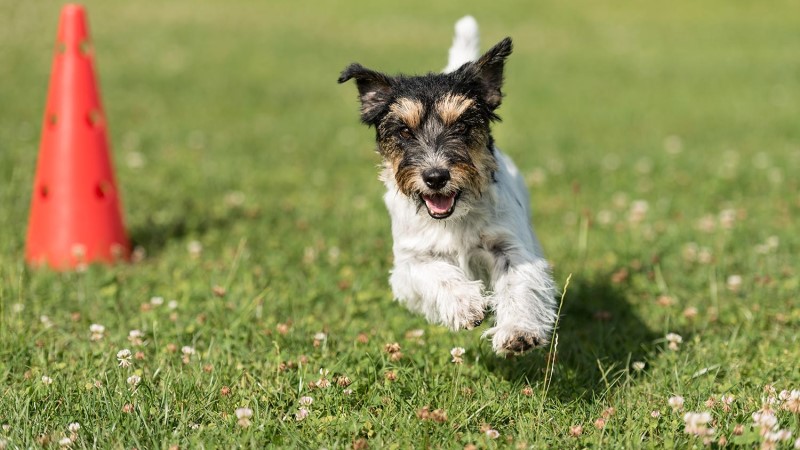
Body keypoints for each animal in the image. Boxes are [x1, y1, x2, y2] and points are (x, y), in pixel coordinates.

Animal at [338, 16, 556, 356]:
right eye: (404, 131)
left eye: (463, 125)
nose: (436, 176)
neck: (455, 219)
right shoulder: (410, 262)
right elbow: (438, 275)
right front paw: (466, 305)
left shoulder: (510, 246)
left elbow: (518, 285)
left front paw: (518, 331)